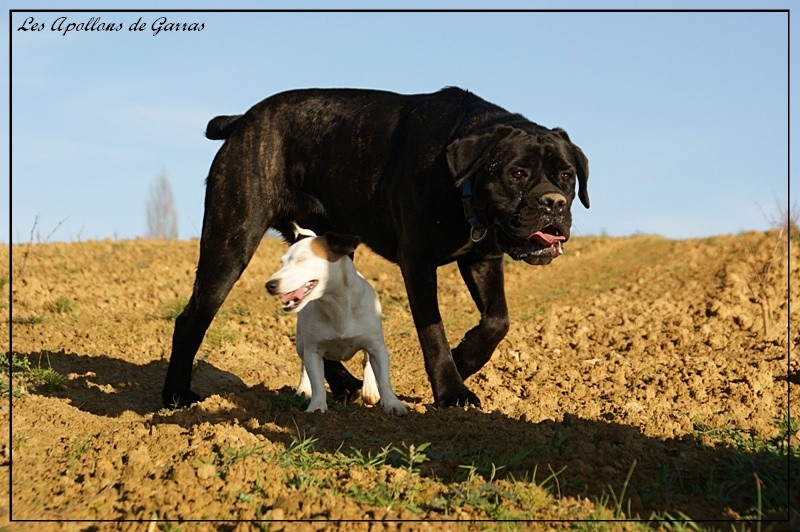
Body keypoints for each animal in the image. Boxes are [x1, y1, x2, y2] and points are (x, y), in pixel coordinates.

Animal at [268, 225, 406, 416]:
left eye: (302, 260)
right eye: (282, 263)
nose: (270, 285)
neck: (336, 305)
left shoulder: (376, 346)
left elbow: (383, 377)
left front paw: (392, 403)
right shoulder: (313, 350)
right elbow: (317, 382)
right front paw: (317, 407)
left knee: (367, 361)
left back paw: (370, 390)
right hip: (301, 343)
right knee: (304, 366)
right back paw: (304, 389)